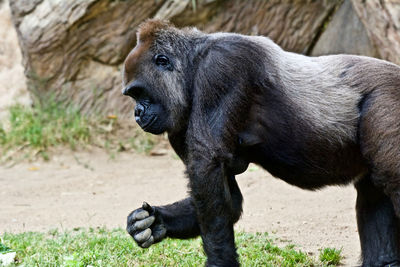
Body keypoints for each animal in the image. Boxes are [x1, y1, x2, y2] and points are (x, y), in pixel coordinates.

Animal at [121, 19, 400, 267]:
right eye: (133, 95)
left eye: (139, 92)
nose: (137, 113)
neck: (194, 63)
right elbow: (226, 198)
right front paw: (156, 221)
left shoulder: (223, 66)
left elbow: (206, 165)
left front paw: (220, 262)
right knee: (375, 188)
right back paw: (385, 262)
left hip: (389, 96)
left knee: (392, 179)